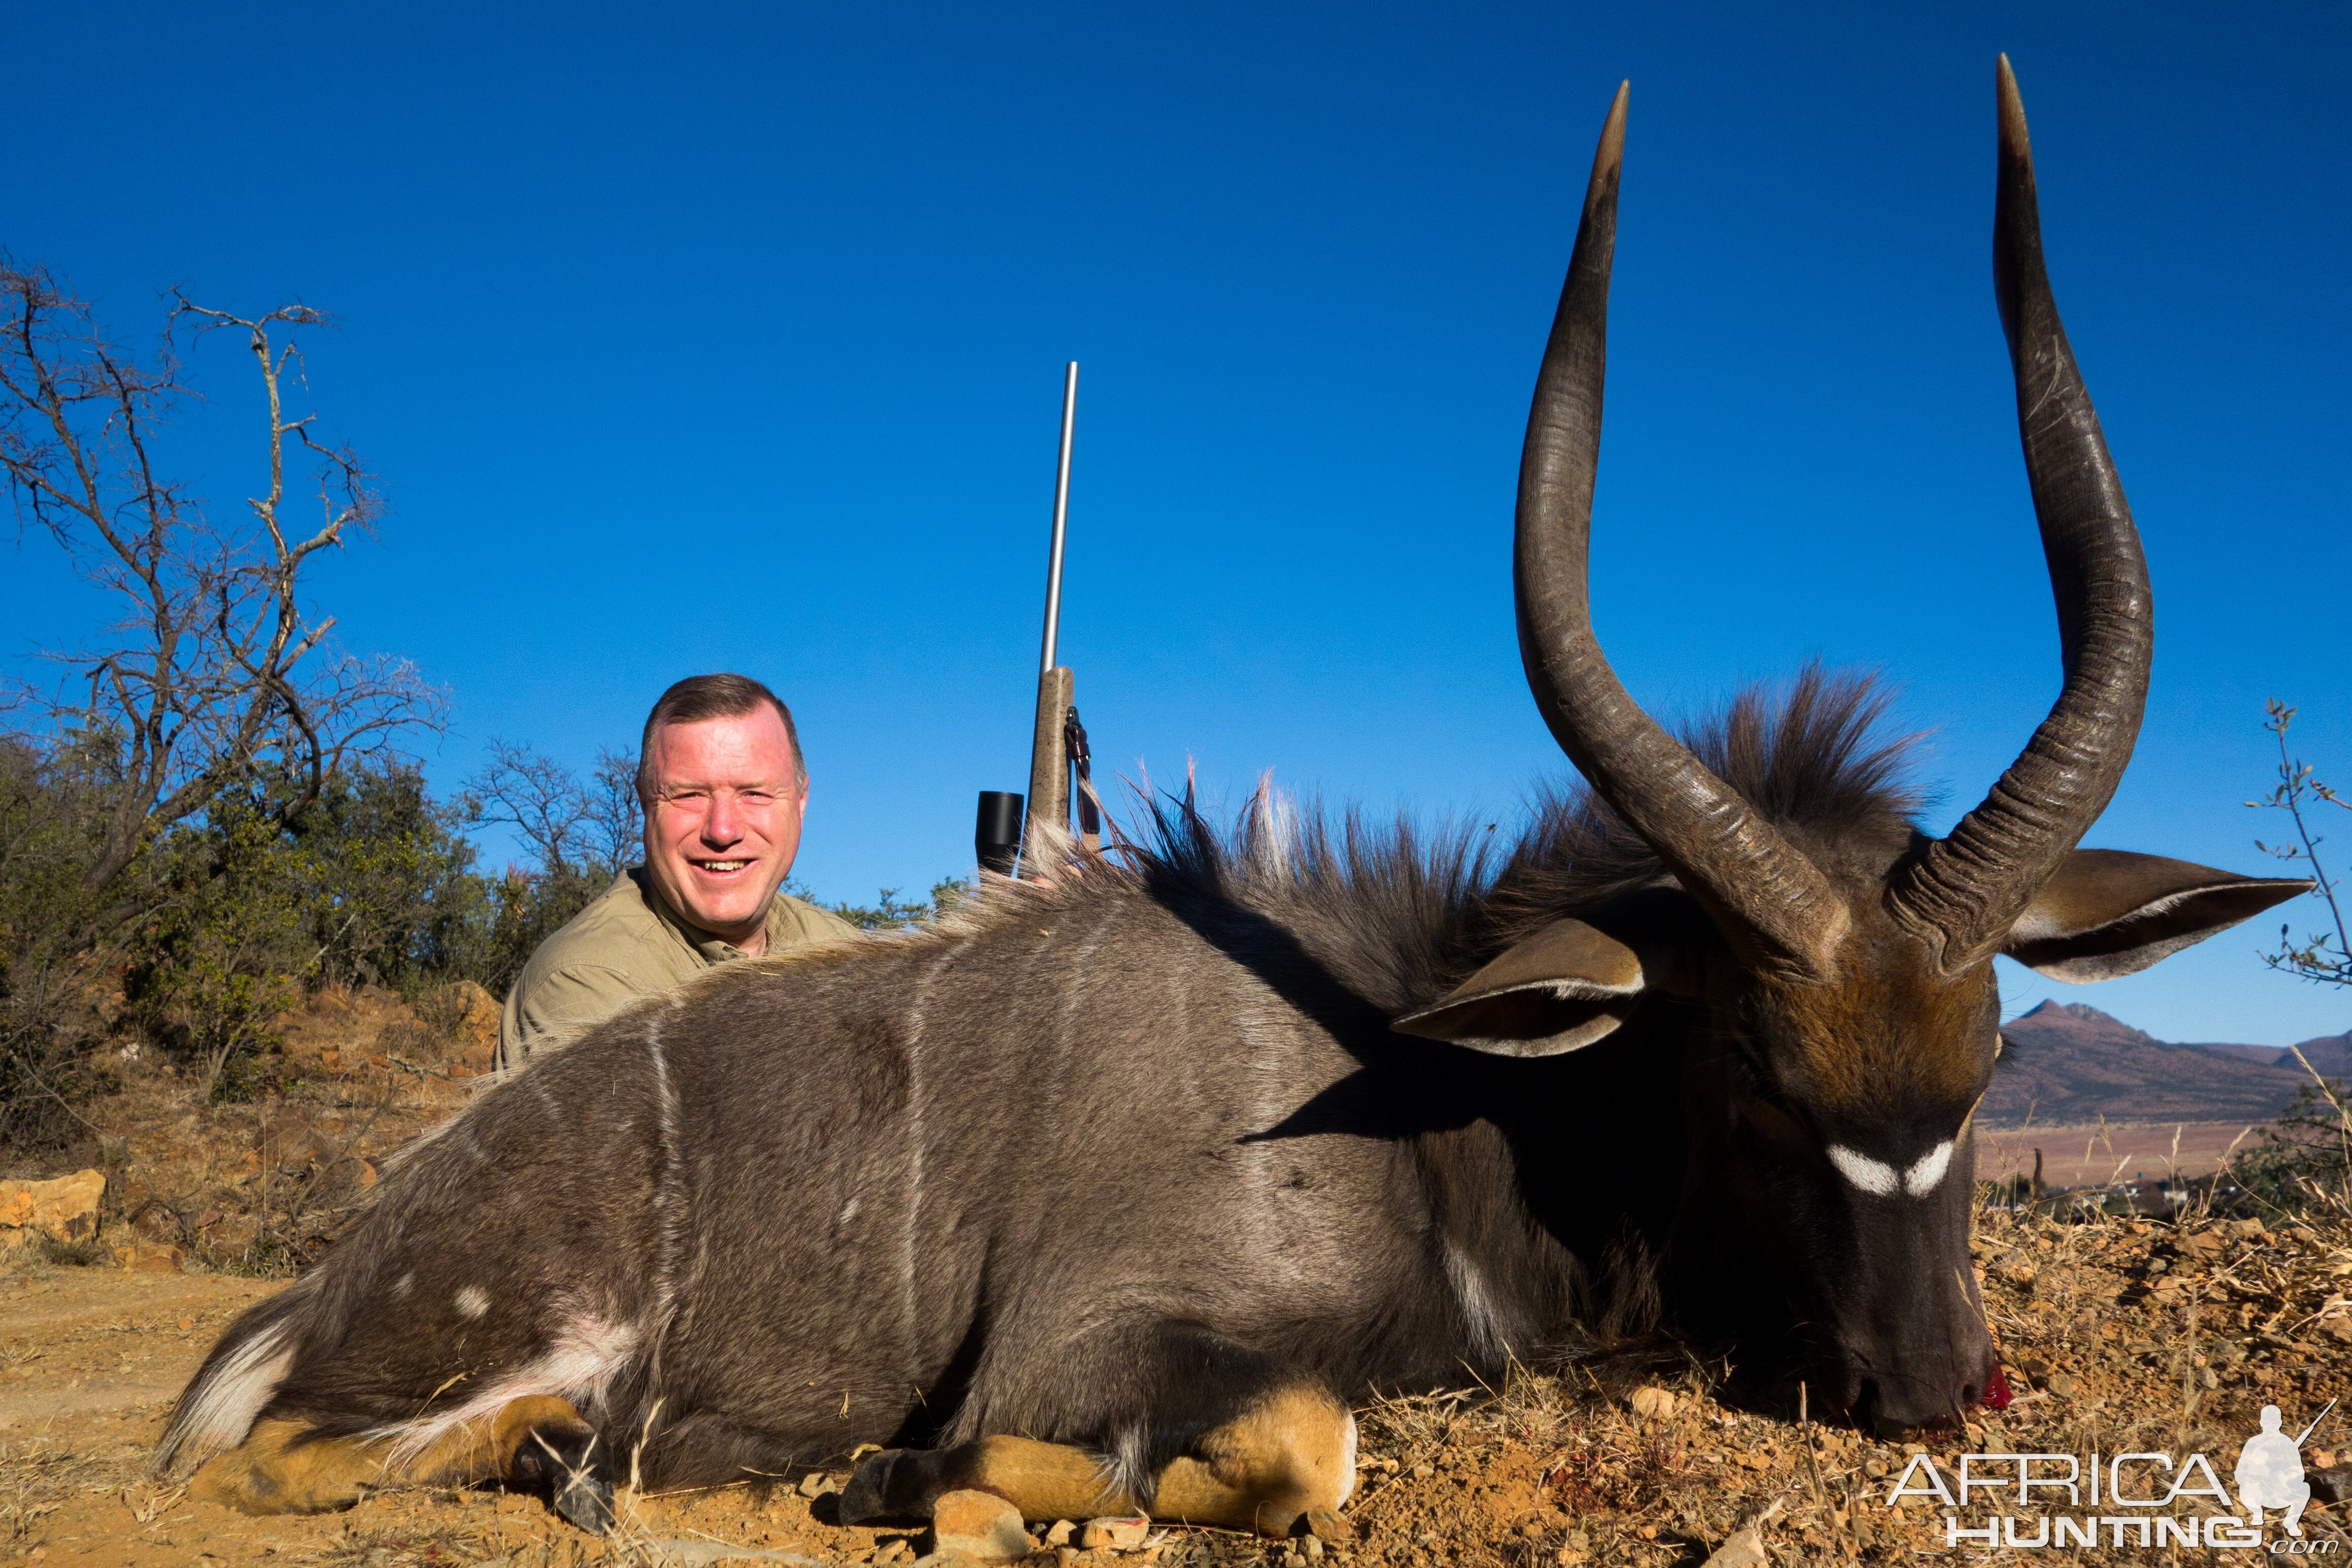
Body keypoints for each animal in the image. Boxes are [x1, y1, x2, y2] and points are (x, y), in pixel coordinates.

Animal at [156, 58, 2305, 1532]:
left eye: (1992, 1062)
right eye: (1758, 1079)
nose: (1942, 1387)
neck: (1429, 1093)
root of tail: (347, 1251)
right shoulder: (1093, 1340)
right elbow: (1290, 1432)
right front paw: (888, 1474)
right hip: (455, 1360)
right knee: (299, 1455)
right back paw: (581, 1455)